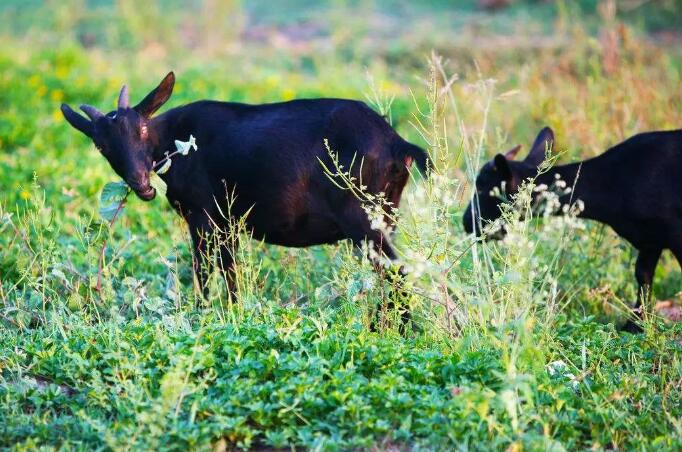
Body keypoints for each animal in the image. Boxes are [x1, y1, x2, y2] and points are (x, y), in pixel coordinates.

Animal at [61, 72, 428, 304]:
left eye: (141, 130)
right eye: (102, 146)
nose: (141, 184)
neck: (176, 141)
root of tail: (397, 143)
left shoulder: (203, 215)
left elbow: (205, 270)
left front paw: (205, 313)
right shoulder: (228, 221)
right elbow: (231, 270)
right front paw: (236, 311)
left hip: (363, 217)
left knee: (395, 271)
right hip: (387, 213)